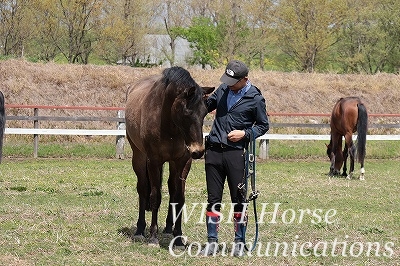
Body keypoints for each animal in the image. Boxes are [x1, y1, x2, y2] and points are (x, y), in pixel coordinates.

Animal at [125, 66, 214, 247]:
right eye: (187, 112)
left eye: (204, 113)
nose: (198, 151)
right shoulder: (154, 161)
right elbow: (155, 196)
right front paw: (153, 237)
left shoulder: (182, 161)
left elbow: (179, 197)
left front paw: (178, 237)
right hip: (139, 157)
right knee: (142, 189)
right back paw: (140, 230)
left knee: (172, 190)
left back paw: (167, 229)